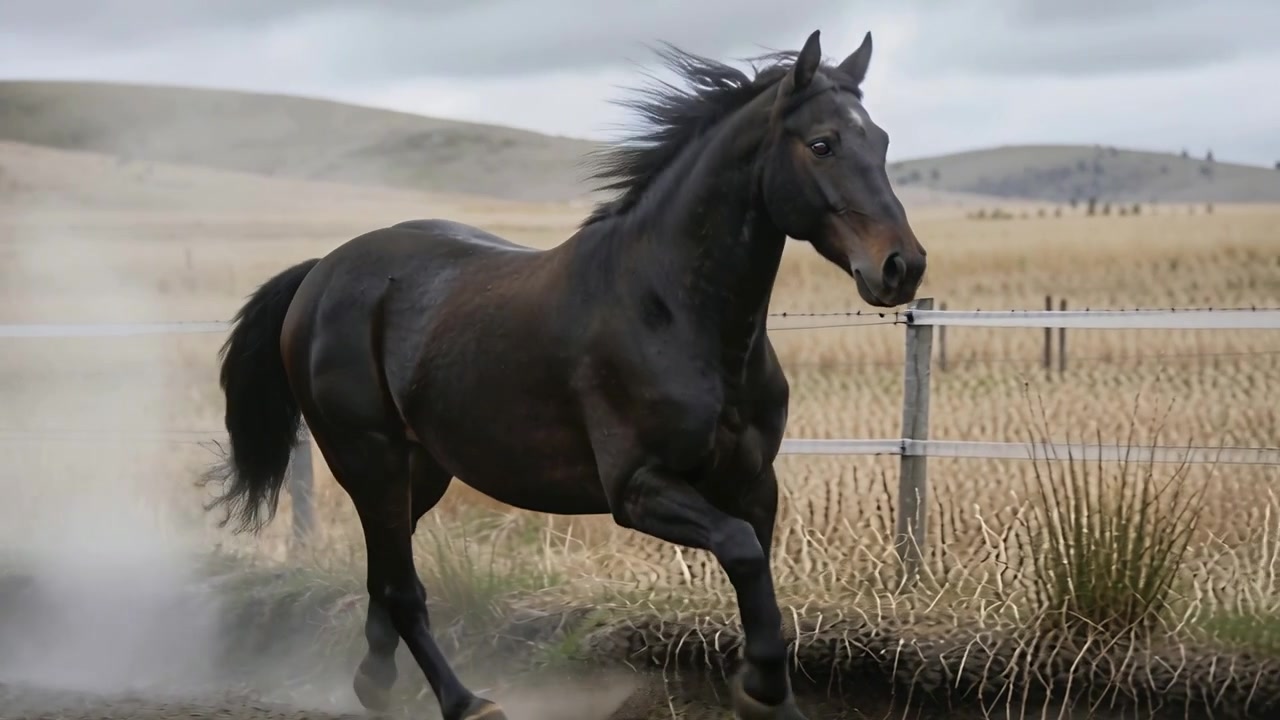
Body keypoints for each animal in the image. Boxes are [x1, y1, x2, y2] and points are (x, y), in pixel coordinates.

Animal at [202, 28, 926, 720]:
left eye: (884, 141)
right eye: (823, 144)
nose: (902, 267)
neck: (675, 312)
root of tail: (322, 272)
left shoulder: (753, 483)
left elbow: (761, 580)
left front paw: (770, 693)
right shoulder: (638, 487)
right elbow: (743, 552)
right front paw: (762, 690)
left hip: (420, 469)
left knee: (384, 576)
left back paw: (376, 684)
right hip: (368, 457)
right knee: (402, 589)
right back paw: (467, 702)